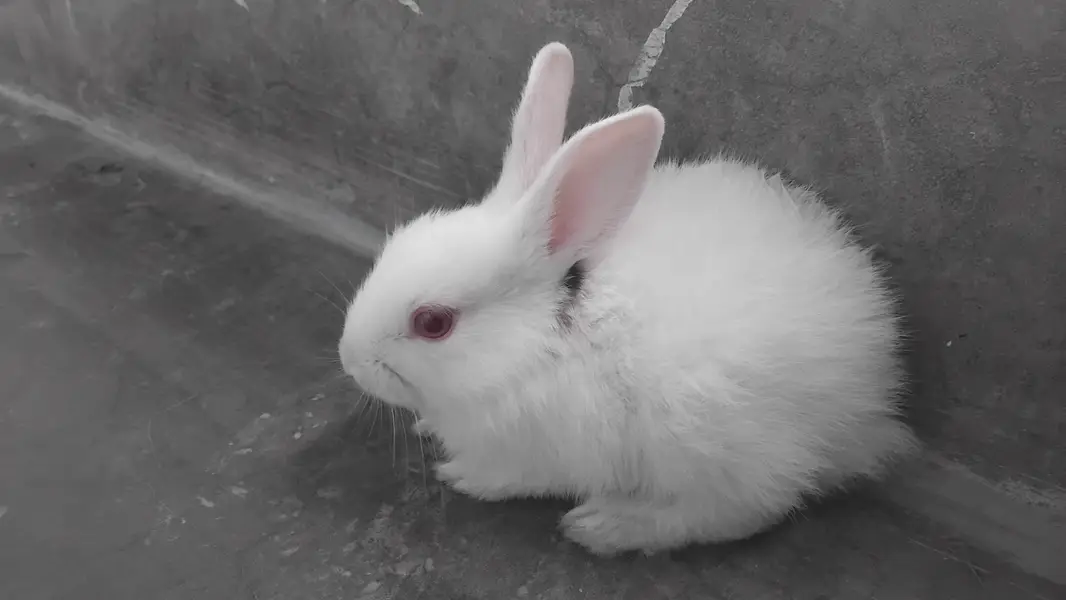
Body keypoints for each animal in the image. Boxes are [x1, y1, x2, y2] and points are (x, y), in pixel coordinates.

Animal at [338, 42, 919, 556]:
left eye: (432, 322)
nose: (350, 360)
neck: (532, 349)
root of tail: (870, 397)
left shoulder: (543, 450)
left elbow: (508, 475)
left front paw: (460, 474)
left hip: (712, 444)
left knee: (734, 511)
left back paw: (606, 526)